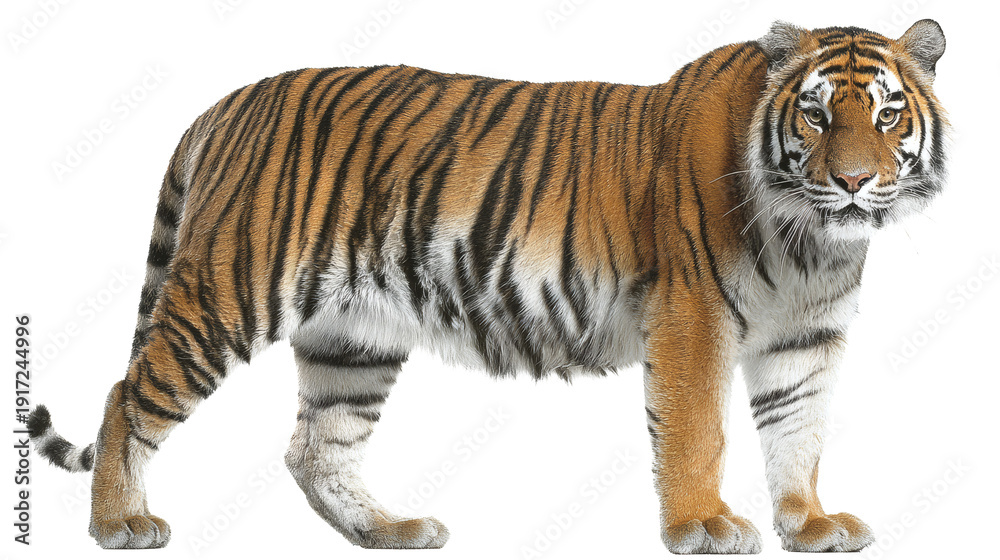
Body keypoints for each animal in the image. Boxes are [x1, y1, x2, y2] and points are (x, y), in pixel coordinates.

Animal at [27, 19, 948, 554]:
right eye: (817, 115)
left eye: (887, 115)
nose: (856, 182)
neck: (813, 241)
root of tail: (223, 104)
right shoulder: (692, 317)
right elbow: (696, 432)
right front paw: (703, 526)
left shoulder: (805, 336)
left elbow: (798, 431)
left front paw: (811, 524)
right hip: (230, 292)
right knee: (127, 395)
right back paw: (119, 524)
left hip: (353, 338)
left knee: (316, 446)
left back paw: (391, 531)